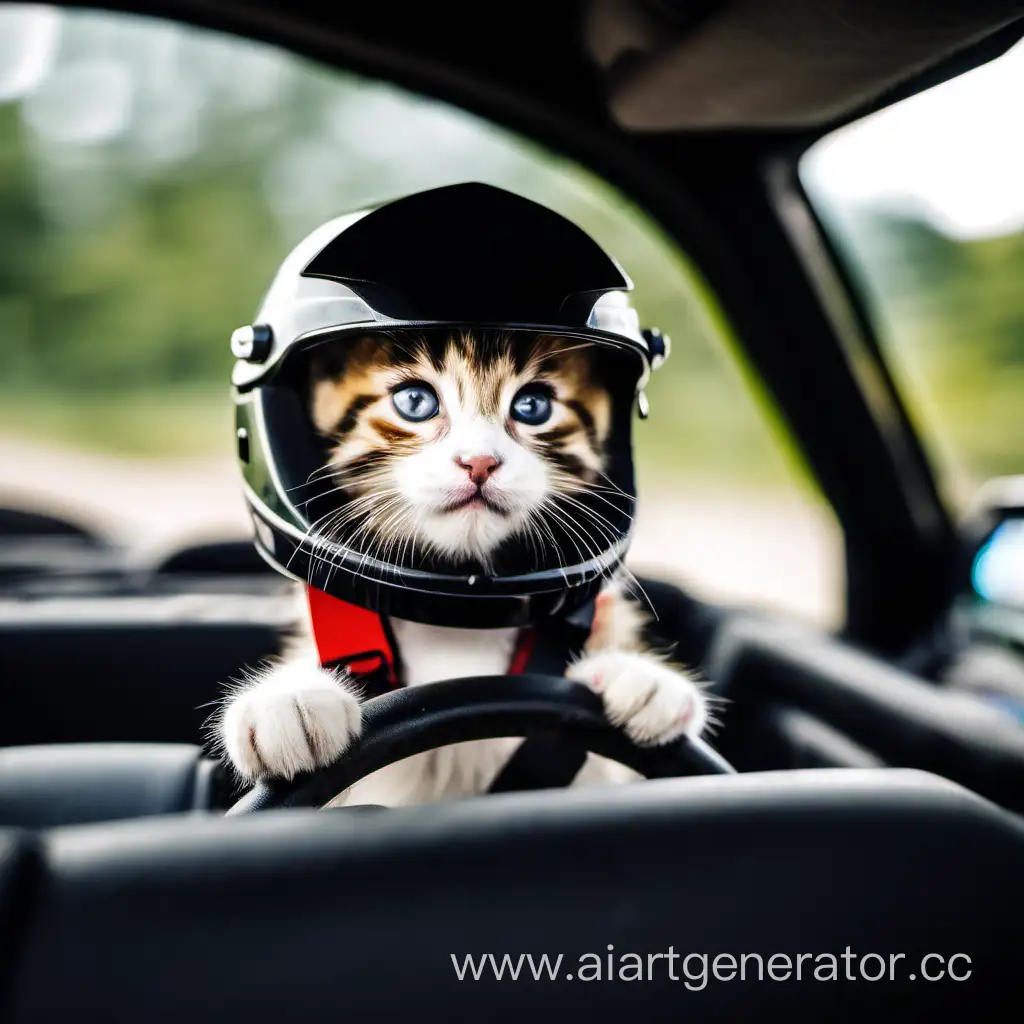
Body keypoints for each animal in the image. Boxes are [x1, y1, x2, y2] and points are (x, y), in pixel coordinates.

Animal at [214, 331, 712, 802]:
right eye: (415, 402)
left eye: (533, 406)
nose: (479, 462)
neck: (458, 629)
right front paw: (289, 697)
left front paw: (640, 679)